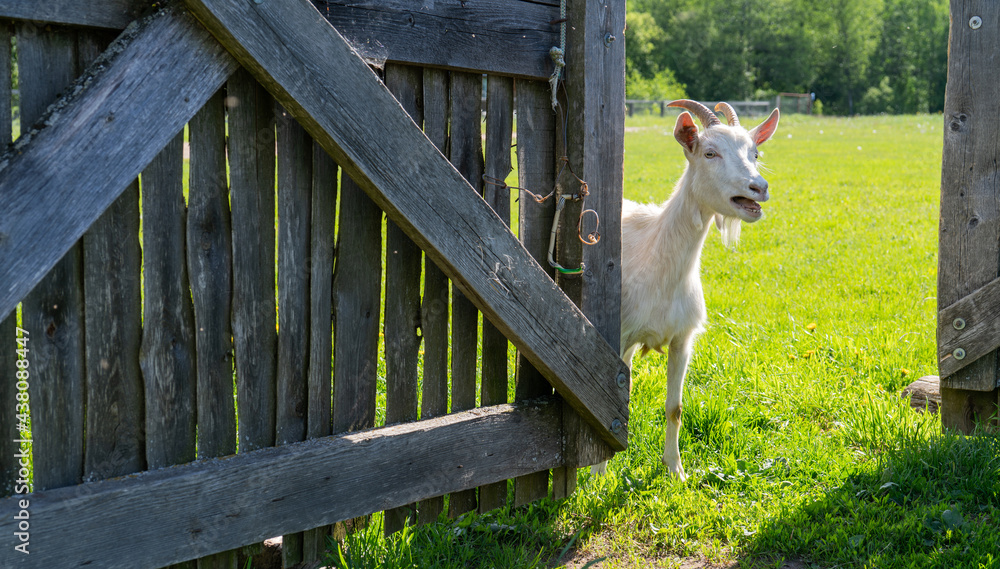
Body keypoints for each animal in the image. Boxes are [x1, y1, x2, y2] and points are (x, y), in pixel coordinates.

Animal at [597, 100, 780, 480]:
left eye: (755, 153)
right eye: (710, 153)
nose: (759, 187)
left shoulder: (683, 338)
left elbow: (675, 407)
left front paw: (675, 470)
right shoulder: (616, 334)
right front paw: (597, 475)